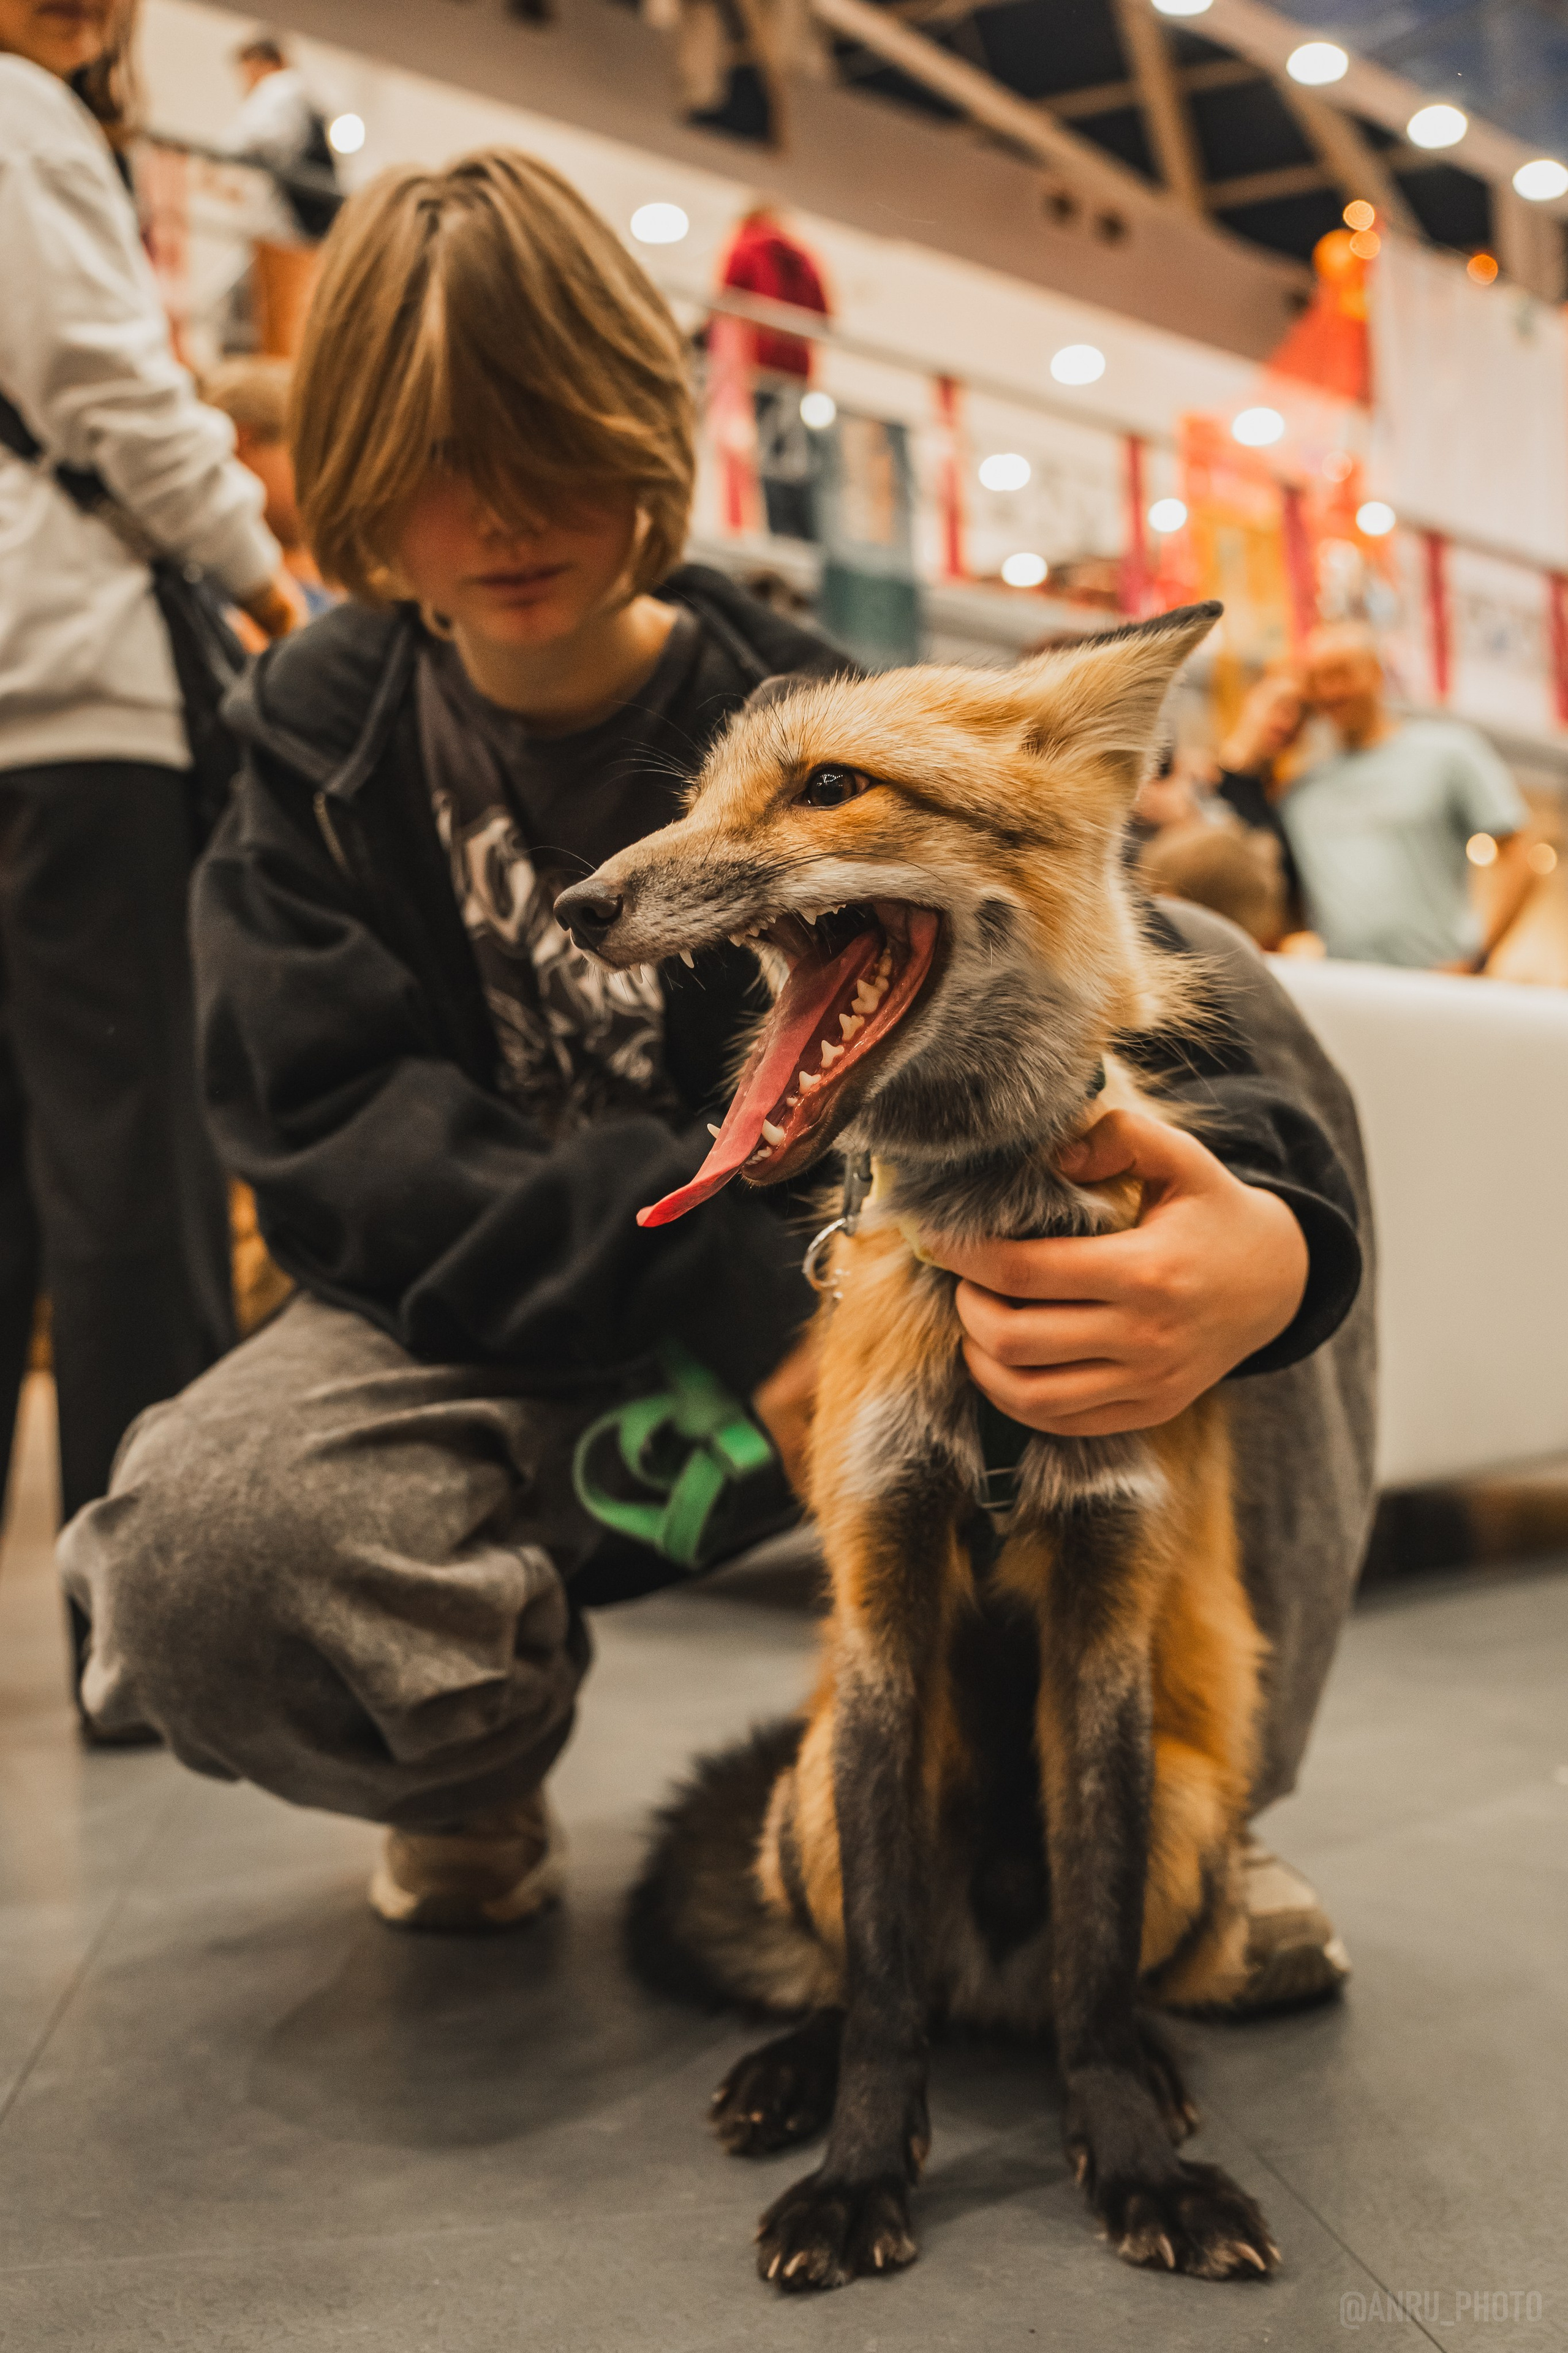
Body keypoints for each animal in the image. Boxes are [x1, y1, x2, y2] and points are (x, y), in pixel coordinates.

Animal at [554, 599, 1283, 2292]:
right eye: (699, 798)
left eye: (827, 786)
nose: (577, 902)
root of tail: (988, 1977)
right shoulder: (884, 1605)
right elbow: (882, 1991)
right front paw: (856, 2173)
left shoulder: (1102, 1609)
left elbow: (1096, 1968)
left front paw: (1133, 2161)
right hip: (818, 1792)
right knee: (863, 1974)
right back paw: (791, 2069)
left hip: (1185, 1807)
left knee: (1085, 1976)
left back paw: (1144, 2060)